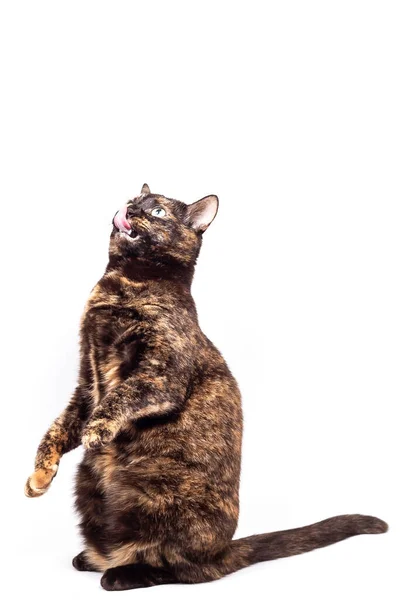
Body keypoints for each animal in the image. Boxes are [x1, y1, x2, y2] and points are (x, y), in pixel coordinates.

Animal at [25, 183, 388, 592]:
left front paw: (96, 432)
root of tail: (223, 548)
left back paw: (123, 572)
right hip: (89, 484)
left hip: (154, 493)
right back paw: (92, 557)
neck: (124, 283)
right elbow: (58, 428)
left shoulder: (161, 375)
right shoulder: (87, 386)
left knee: (184, 567)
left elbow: (121, 396)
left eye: (158, 211)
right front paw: (39, 477)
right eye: (134, 199)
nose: (131, 209)